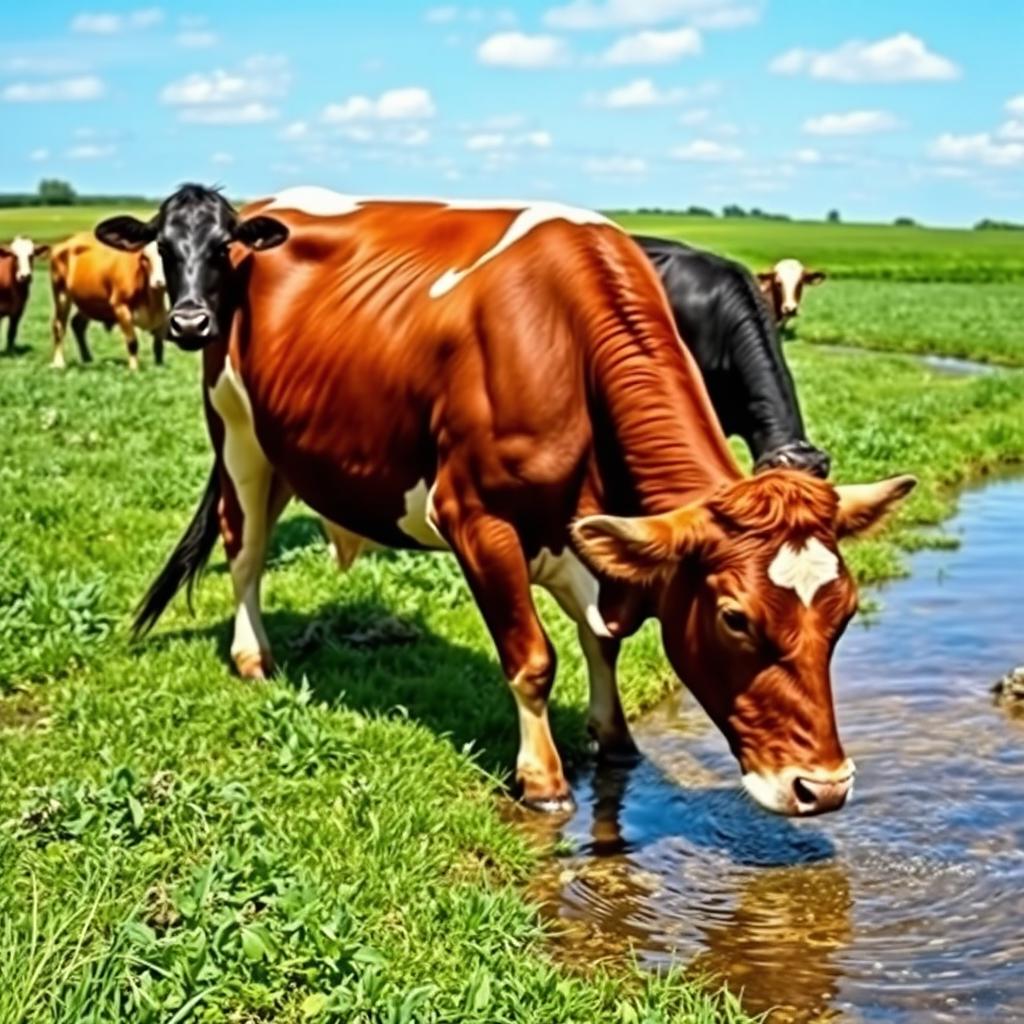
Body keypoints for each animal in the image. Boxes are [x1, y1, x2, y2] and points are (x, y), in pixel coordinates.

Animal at [49, 232, 168, 371]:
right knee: (59, 326)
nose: (159, 282)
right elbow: (132, 342)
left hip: (89, 301)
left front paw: (159, 367)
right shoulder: (120, 307)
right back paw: (59, 362)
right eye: (145, 257)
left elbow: (158, 345)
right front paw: (134, 369)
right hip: (61, 293)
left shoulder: (163, 316)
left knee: (77, 324)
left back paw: (87, 359)